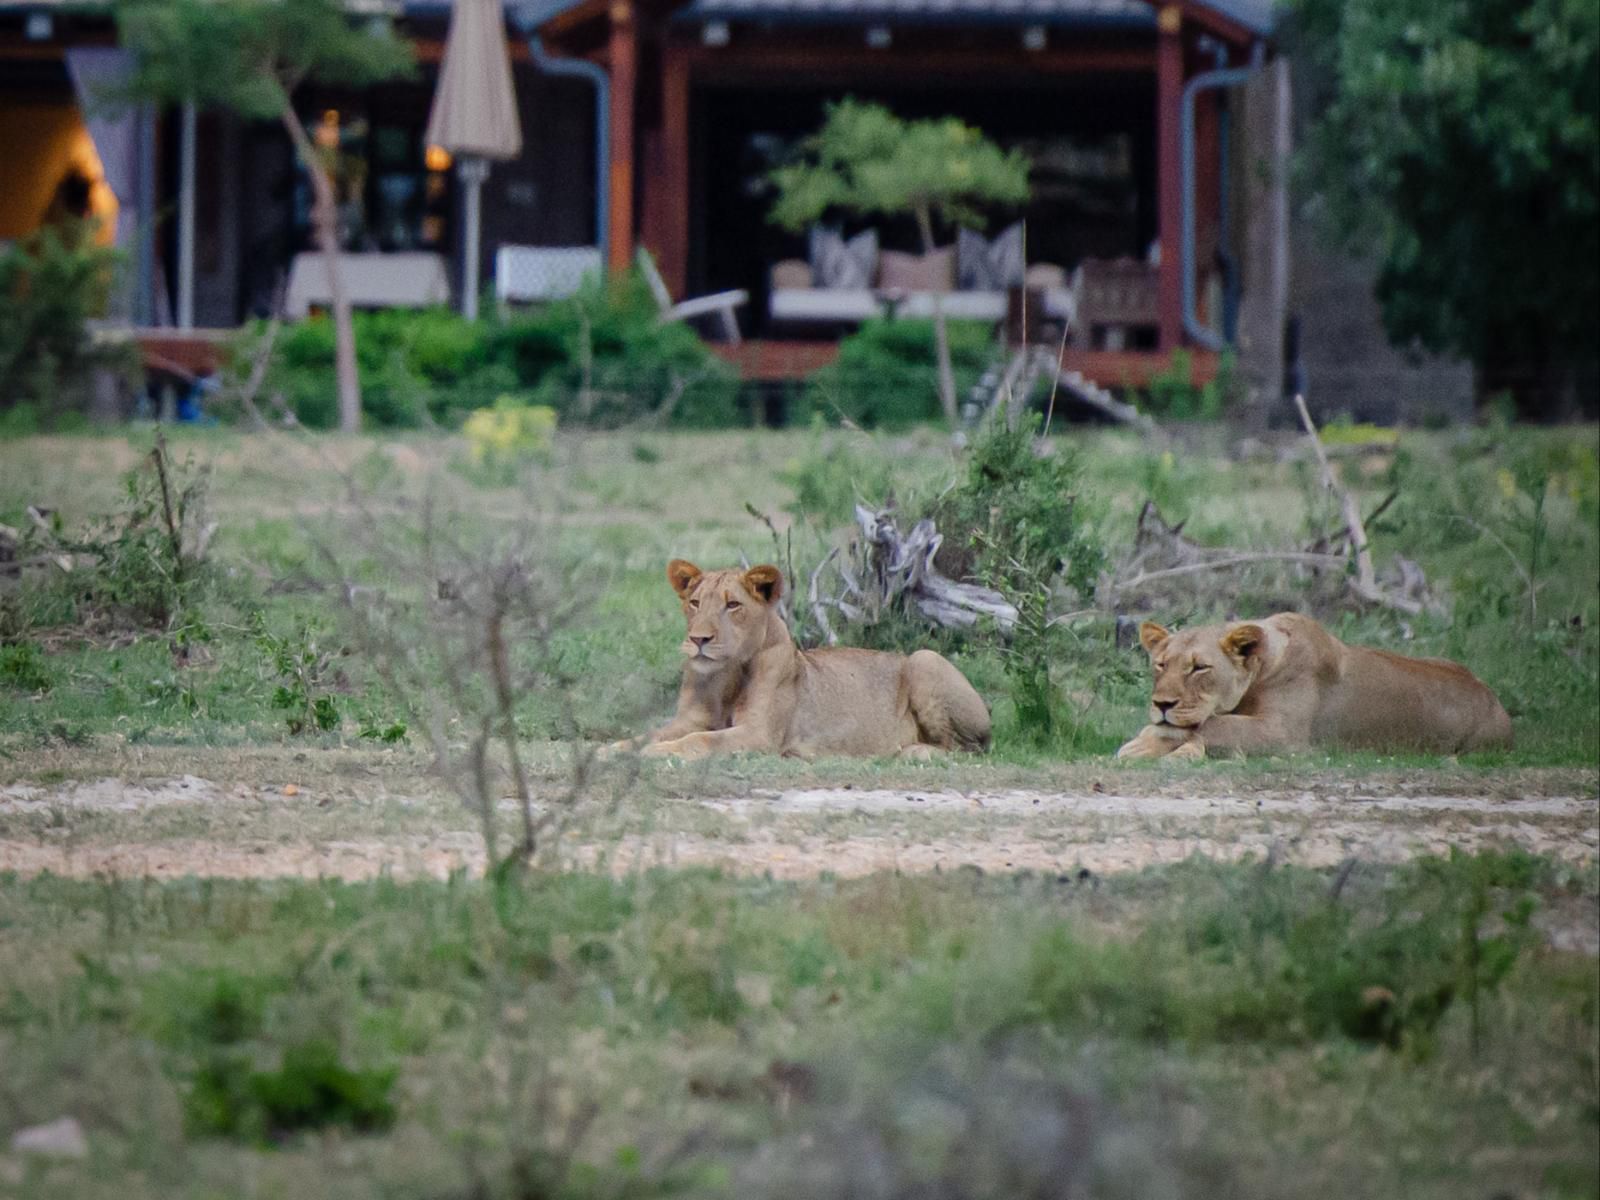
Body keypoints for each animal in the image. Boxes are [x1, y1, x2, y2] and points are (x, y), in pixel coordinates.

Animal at [624, 553, 985, 761]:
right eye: (695, 603)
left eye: (733, 605)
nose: (699, 639)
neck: (725, 676)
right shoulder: (688, 720)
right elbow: (646, 735)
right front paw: (615, 749)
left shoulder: (759, 735)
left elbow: (700, 741)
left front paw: (656, 753)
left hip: (925, 659)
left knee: (967, 748)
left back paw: (913, 751)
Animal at [1113, 611, 1510, 761]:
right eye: (1161, 664)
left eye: (1199, 668)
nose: (1162, 704)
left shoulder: (1285, 735)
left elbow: (1214, 724)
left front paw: (1145, 742)